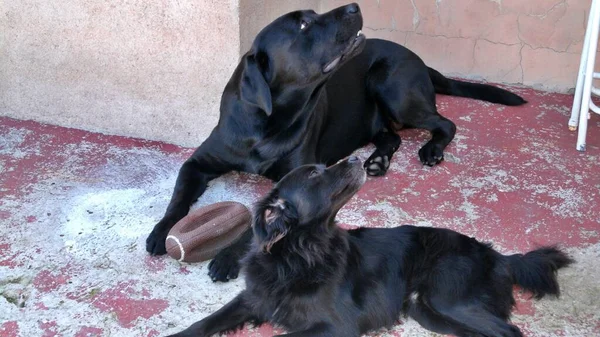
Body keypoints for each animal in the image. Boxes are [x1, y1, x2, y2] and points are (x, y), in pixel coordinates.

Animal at [145, 3, 524, 280]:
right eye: (302, 25)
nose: (354, 5)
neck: (268, 121)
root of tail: (419, 59)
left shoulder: (297, 177)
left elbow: (254, 227)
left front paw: (226, 257)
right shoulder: (199, 162)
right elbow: (178, 198)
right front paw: (161, 231)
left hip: (392, 89)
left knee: (445, 123)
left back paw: (430, 149)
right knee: (391, 137)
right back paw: (377, 160)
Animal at [164, 157, 572, 336]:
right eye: (314, 172)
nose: (360, 156)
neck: (298, 254)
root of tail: (500, 256)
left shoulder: (335, 326)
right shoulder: (253, 298)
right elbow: (205, 322)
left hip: (446, 298)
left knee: (510, 333)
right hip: (429, 311)